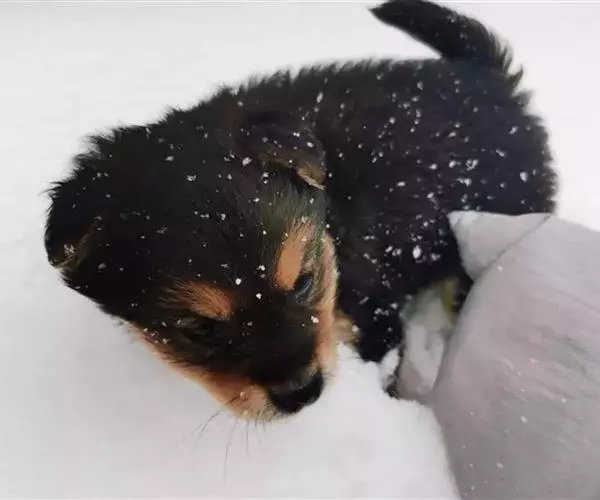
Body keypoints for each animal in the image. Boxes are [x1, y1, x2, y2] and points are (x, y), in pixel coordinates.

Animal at [45, 0, 557, 420]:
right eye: (199, 328)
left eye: (305, 282)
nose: (302, 393)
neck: (332, 221)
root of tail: (491, 78)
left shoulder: (374, 315)